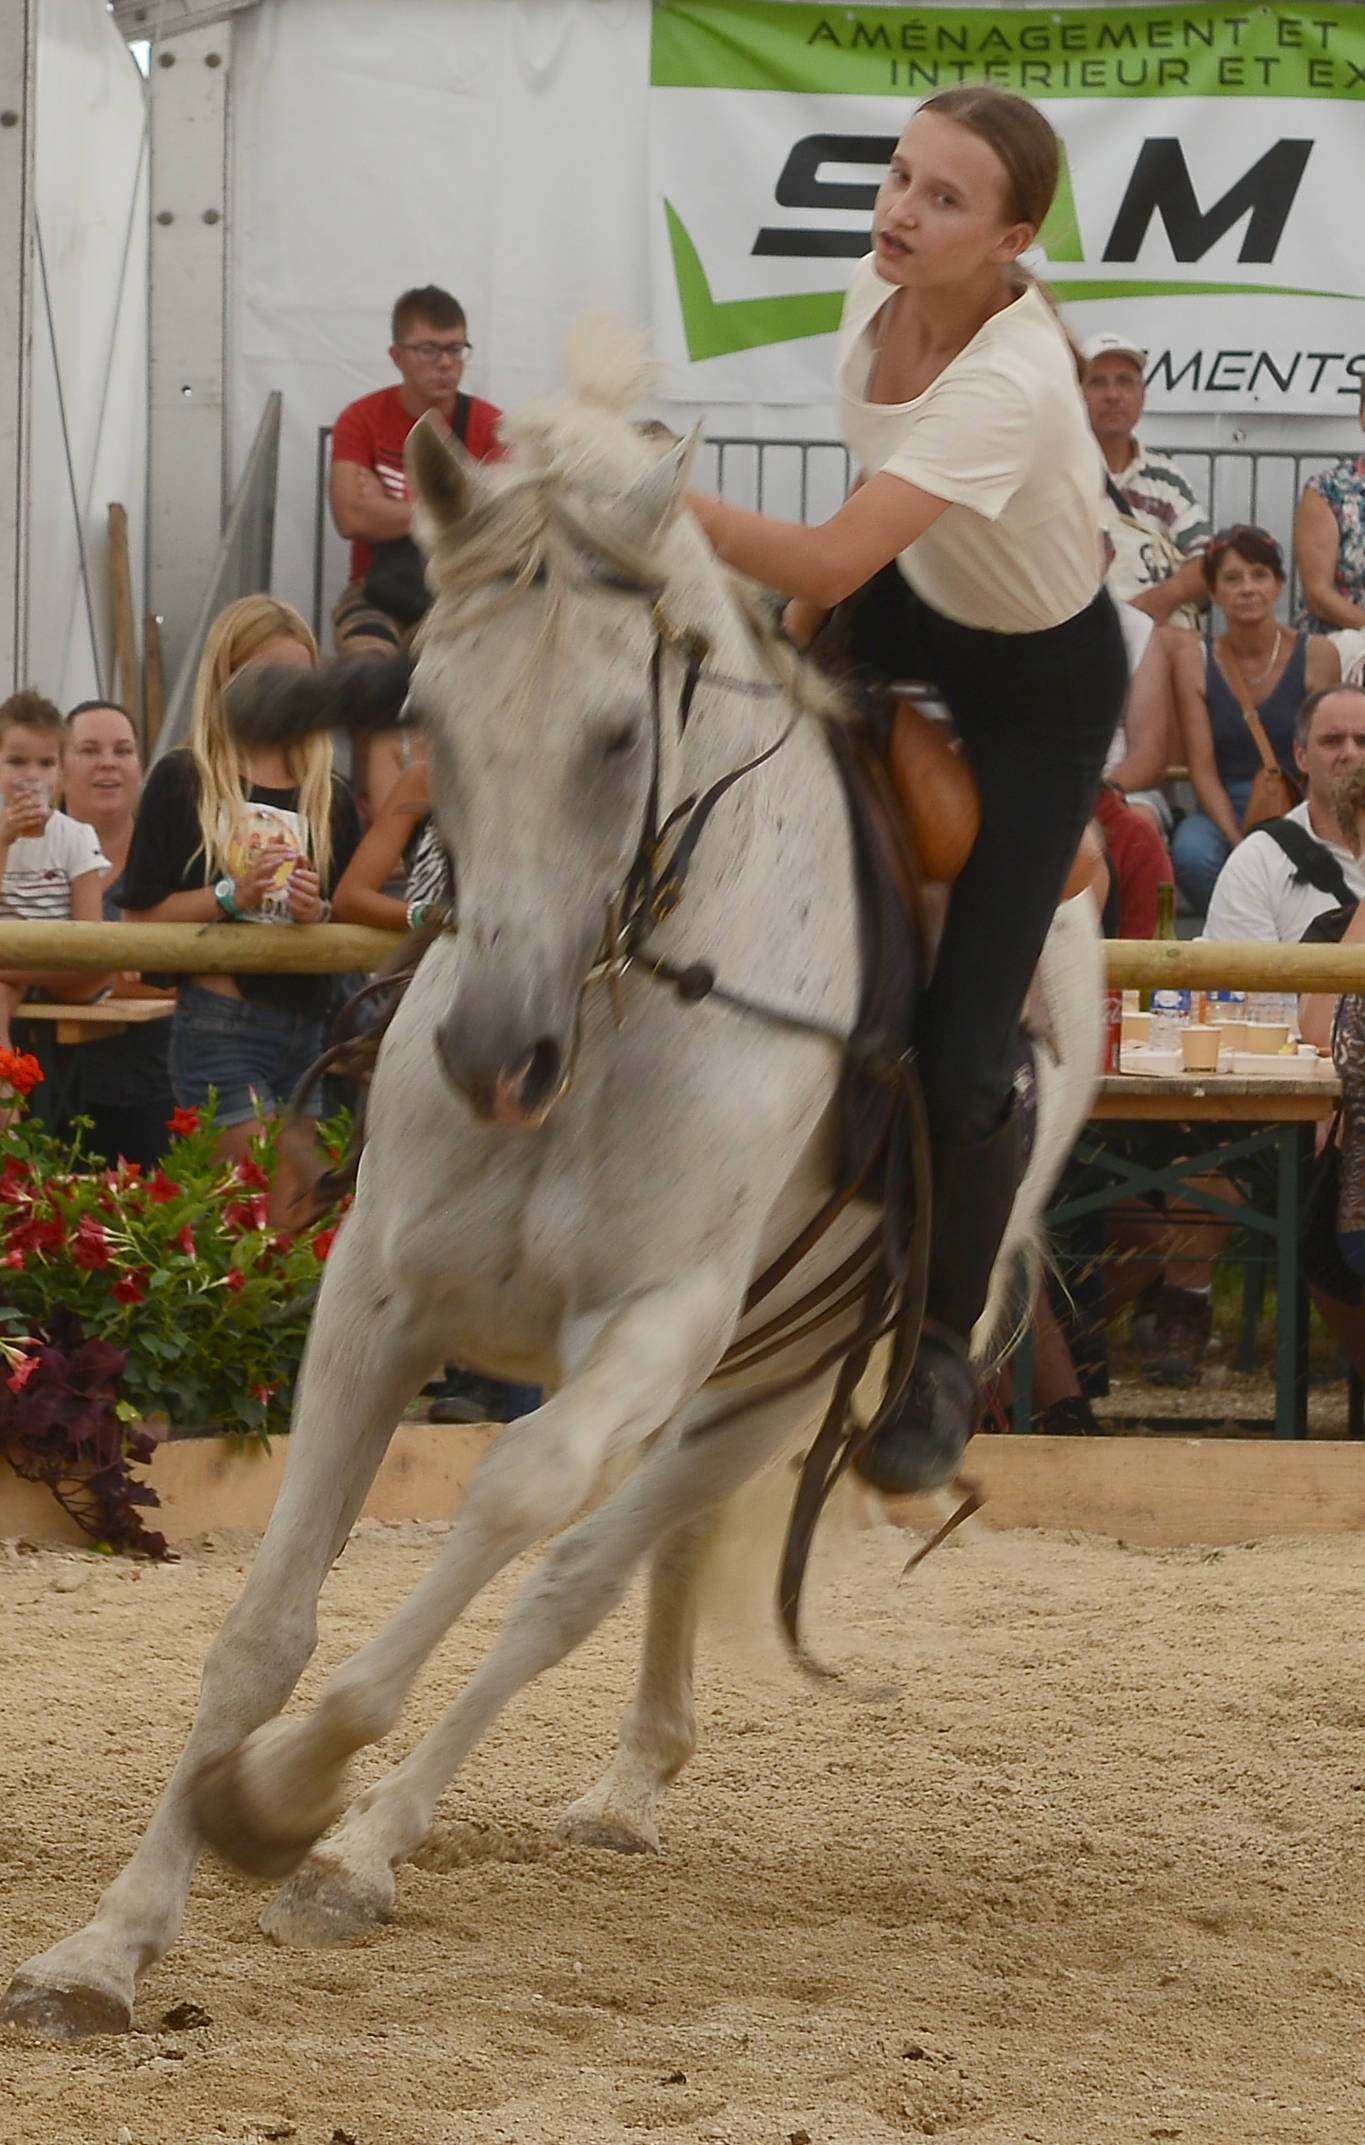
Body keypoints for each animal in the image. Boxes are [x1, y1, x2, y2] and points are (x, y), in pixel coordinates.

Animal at [0, 326, 1107, 2033]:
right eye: (430, 720)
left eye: (617, 734)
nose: (494, 1053)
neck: (612, 1005)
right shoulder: (373, 1302)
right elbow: (262, 1629)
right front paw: (108, 1944)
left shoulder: (647, 1330)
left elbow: (509, 1506)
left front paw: (283, 1798)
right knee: (638, 1564)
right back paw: (615, 1784)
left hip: (773, 1379)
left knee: (572, 1575)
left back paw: (362, 1850)